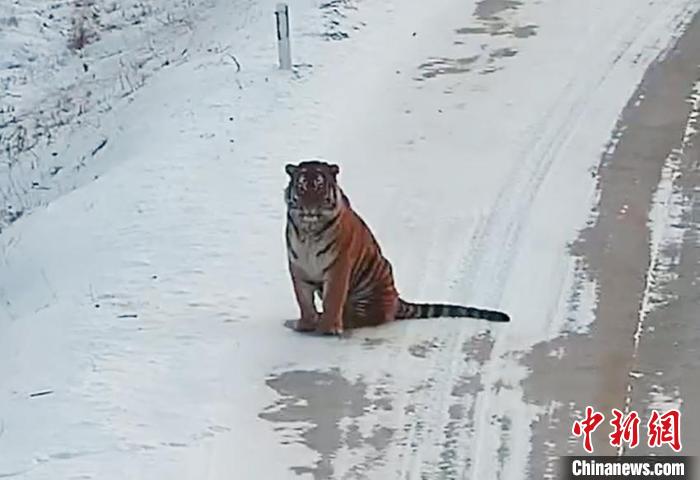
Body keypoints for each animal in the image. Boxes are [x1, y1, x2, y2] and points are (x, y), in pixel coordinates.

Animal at [284, 159, 508, 336]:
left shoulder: (339, 267)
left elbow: (333, 299)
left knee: (365, 316)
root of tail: (396, 298)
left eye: (319, 187)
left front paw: (327, 328)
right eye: (302, 187)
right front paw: (305, 324)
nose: (309, 208)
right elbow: (303, 300)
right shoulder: (298, 267)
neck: (309, 231)